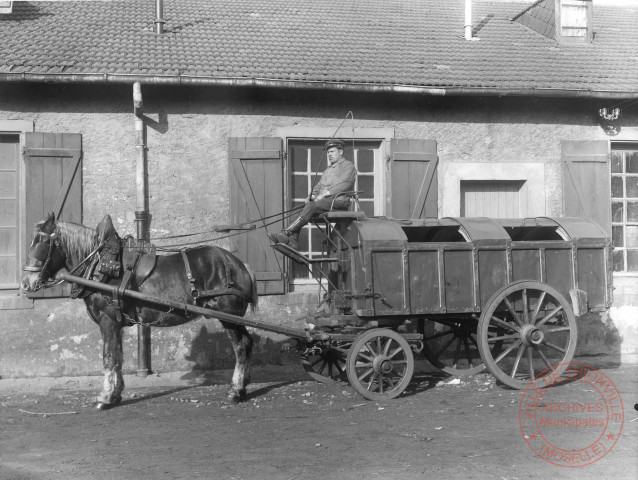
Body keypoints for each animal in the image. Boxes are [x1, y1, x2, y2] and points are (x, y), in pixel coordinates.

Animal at [21, 214, 258, 408]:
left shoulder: (108, 320)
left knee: (240, 346)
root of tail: (240, 265)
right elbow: (118, 356)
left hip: (229, 316)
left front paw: (104, 397)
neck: (100, 265)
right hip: (233, 318)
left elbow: (108, 357)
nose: (25, 283)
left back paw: (235, 391)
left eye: (41, 243)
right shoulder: (116, 322)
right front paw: (116, 394)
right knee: (247, 342)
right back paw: (243, 385)